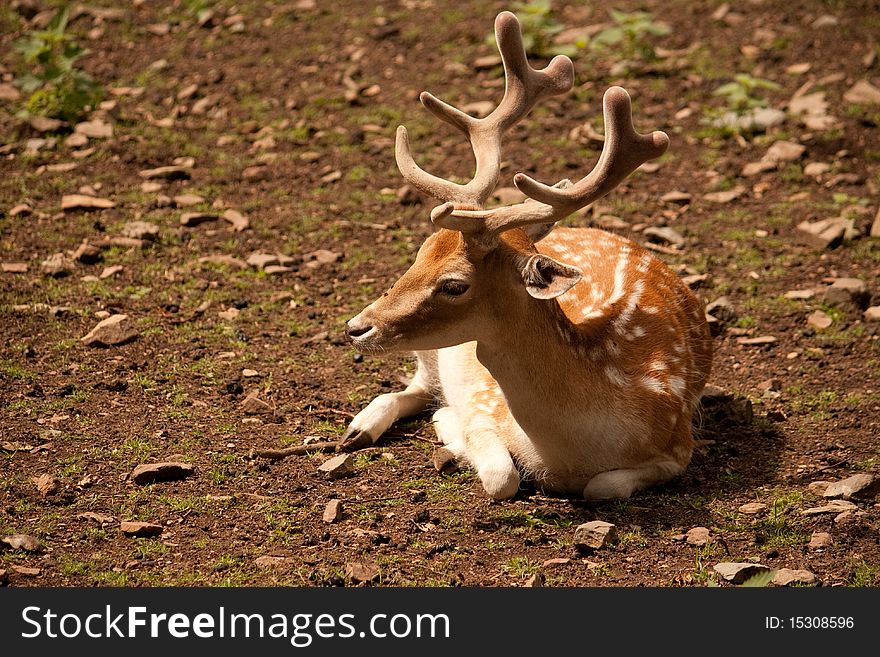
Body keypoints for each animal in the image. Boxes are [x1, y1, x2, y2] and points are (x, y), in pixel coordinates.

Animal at [340, 10, 712, 500]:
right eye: (419, 253)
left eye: (455, 284)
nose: (356, 327)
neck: (570, 454)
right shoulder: (484, 405)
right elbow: (502, 477)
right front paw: (448, 425)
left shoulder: (679, 444)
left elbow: (603, 488)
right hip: (435, 354)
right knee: (414, 385)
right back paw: (359, 428)